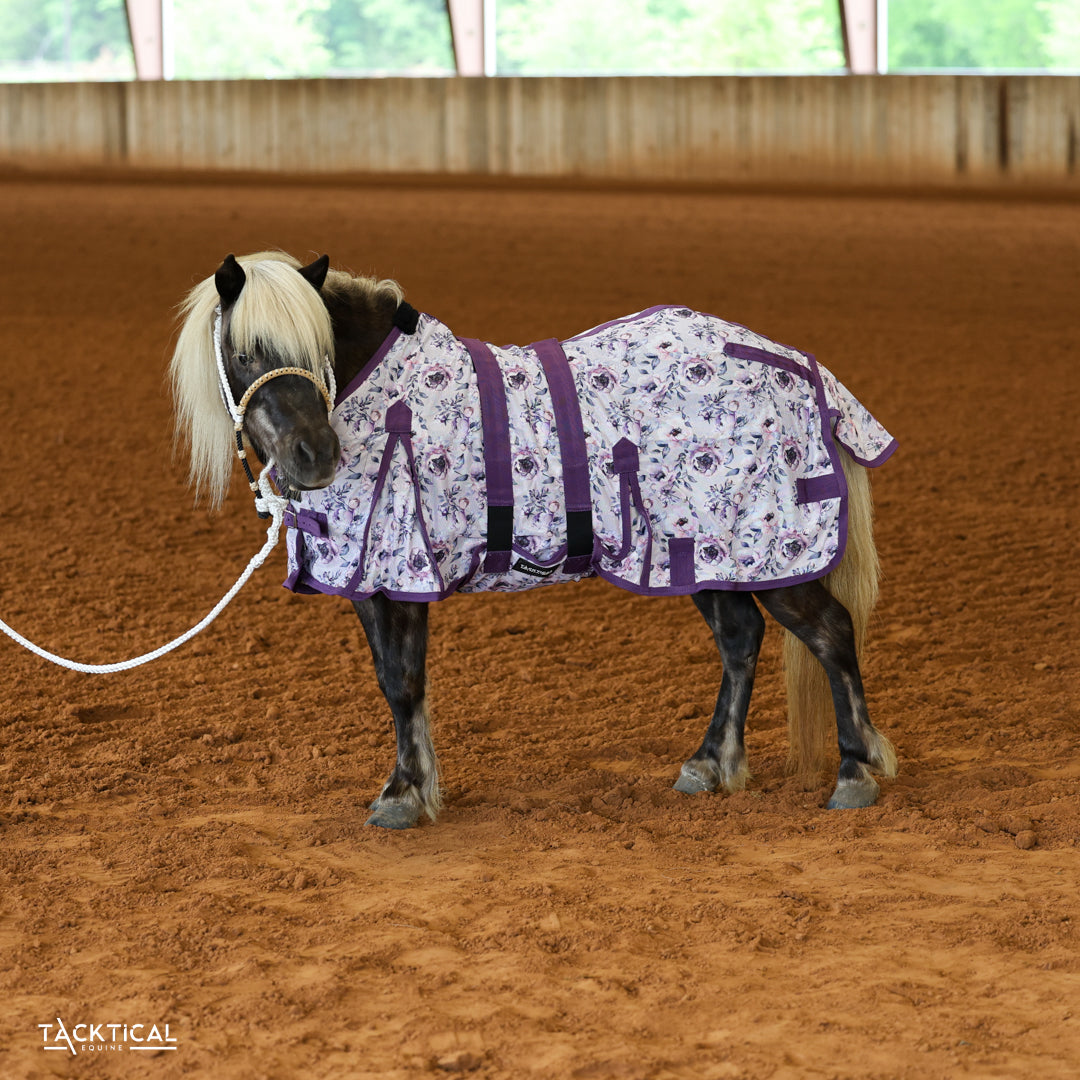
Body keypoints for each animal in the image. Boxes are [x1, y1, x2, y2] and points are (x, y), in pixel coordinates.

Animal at [170, 250, 899, 830]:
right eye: (245, 353)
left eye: (316, 349)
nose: (314, 456)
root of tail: (795, 364)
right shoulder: (372, 582)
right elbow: (397, 680)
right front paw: (419, 788)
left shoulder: (401, 574)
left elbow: (402, 681)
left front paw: (403, 796)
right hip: (700, 557)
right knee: (741, 640)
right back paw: (709, 765)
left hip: (769, 558)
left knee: (831, 633)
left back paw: (854, 774)